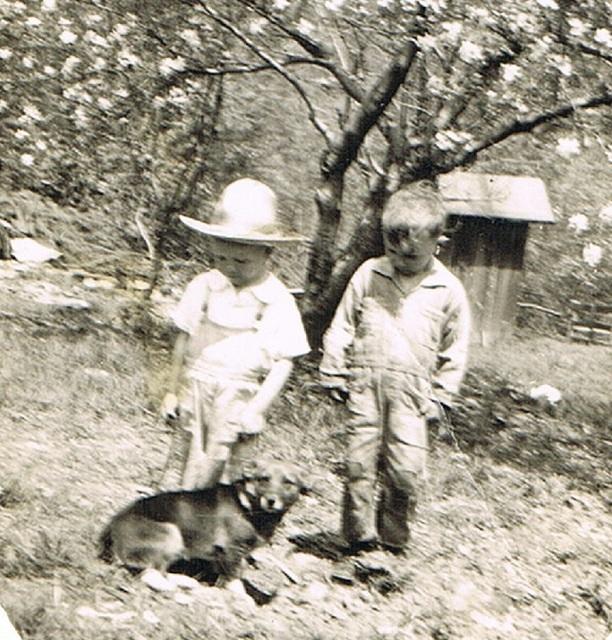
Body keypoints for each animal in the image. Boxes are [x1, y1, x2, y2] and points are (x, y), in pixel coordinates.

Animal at [99, 460, 306, 592]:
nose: (271, 501)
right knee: (153, 572)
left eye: (288, 482)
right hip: (172, 534)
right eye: (264, 479)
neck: (249, 506)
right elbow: (234, 578)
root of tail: (110, 531)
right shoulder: (232, 549)